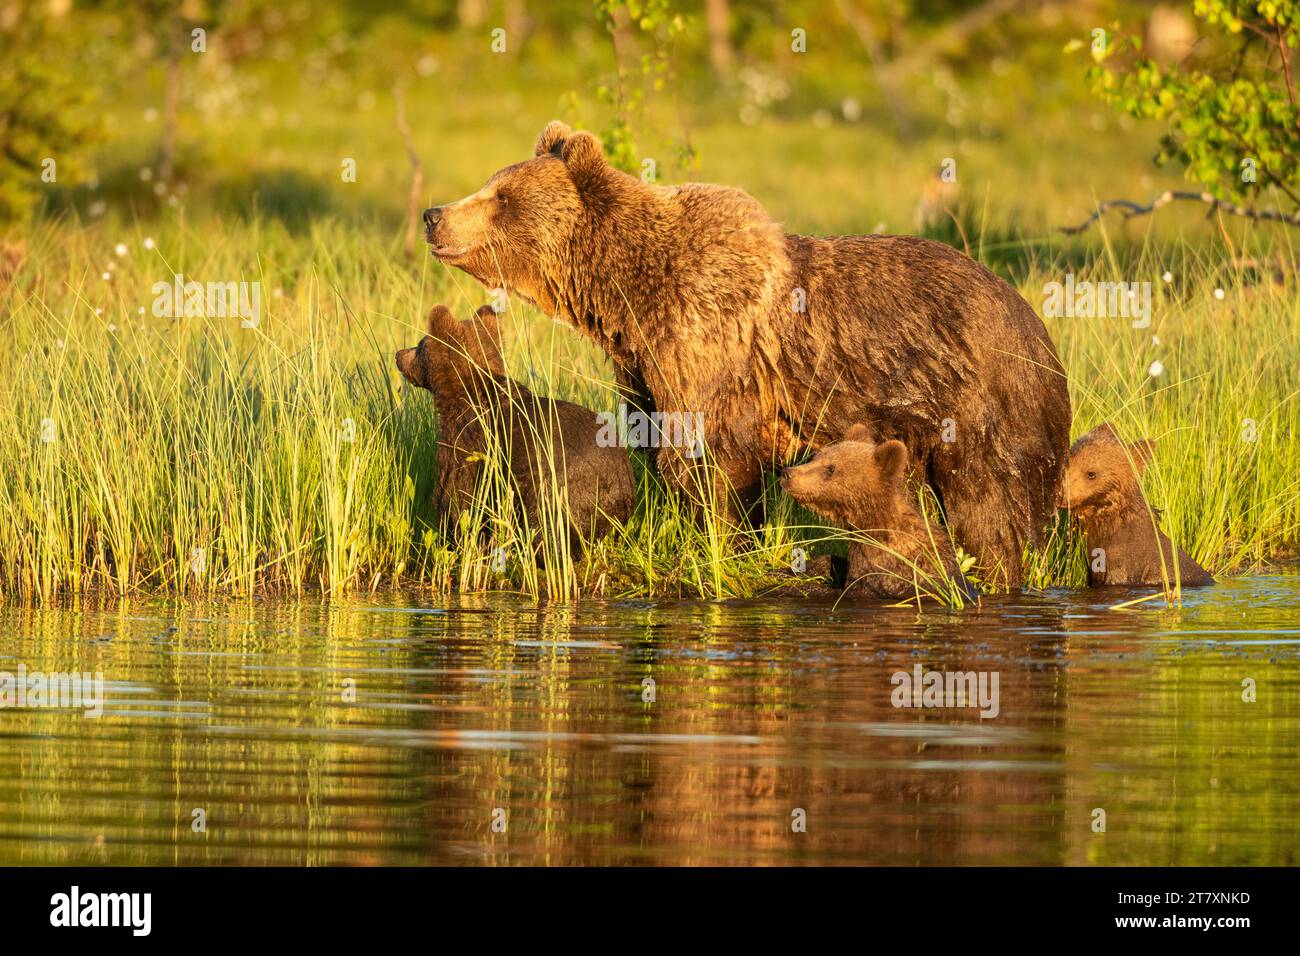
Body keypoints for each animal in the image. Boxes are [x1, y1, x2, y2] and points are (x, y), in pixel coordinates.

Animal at [421, 119, 1071, 582]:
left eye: (500, 196)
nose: (433, 215)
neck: (626, 296)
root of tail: (1034, 322)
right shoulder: (645, 368)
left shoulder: (709, 343)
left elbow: (711, 461)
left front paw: (720, 542)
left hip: (980, 402)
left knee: (992, 508)